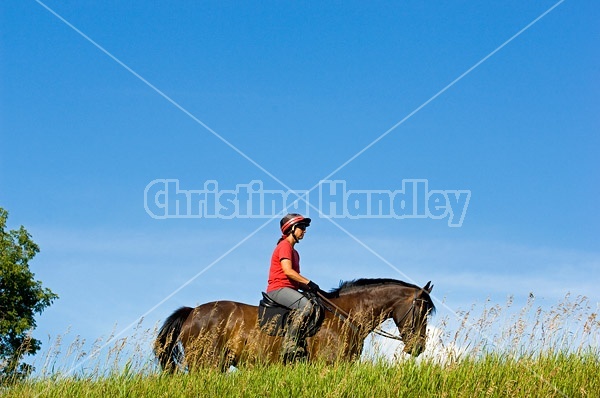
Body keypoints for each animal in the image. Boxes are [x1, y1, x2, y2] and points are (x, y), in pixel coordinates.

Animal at [155, 278, 436, 372]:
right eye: (421, 310)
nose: (419, 348)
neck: (346, 315)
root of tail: (192, 312)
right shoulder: (328, 365)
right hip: (205, 363)